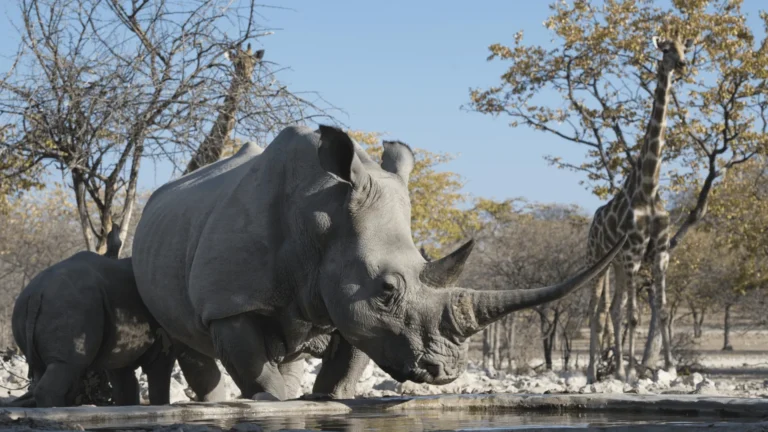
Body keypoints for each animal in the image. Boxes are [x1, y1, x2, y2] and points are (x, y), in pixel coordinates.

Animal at [9, 226, 176, 407]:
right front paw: (162, 407)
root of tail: (36, 292)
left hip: (25, 308)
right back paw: (55, 410)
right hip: (70, 303)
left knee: (43, 369)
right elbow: (159, 376)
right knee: (67, 366)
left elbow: (125, 385)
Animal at [132, 125, 624, 401]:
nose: (445, 372)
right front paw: (270, 402)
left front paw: (321, 400)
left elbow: (345, 367)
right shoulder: (230, 302)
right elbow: (254, 370)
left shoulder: (352, 302)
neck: (320, 217)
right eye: (388, 290)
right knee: (188, 342)